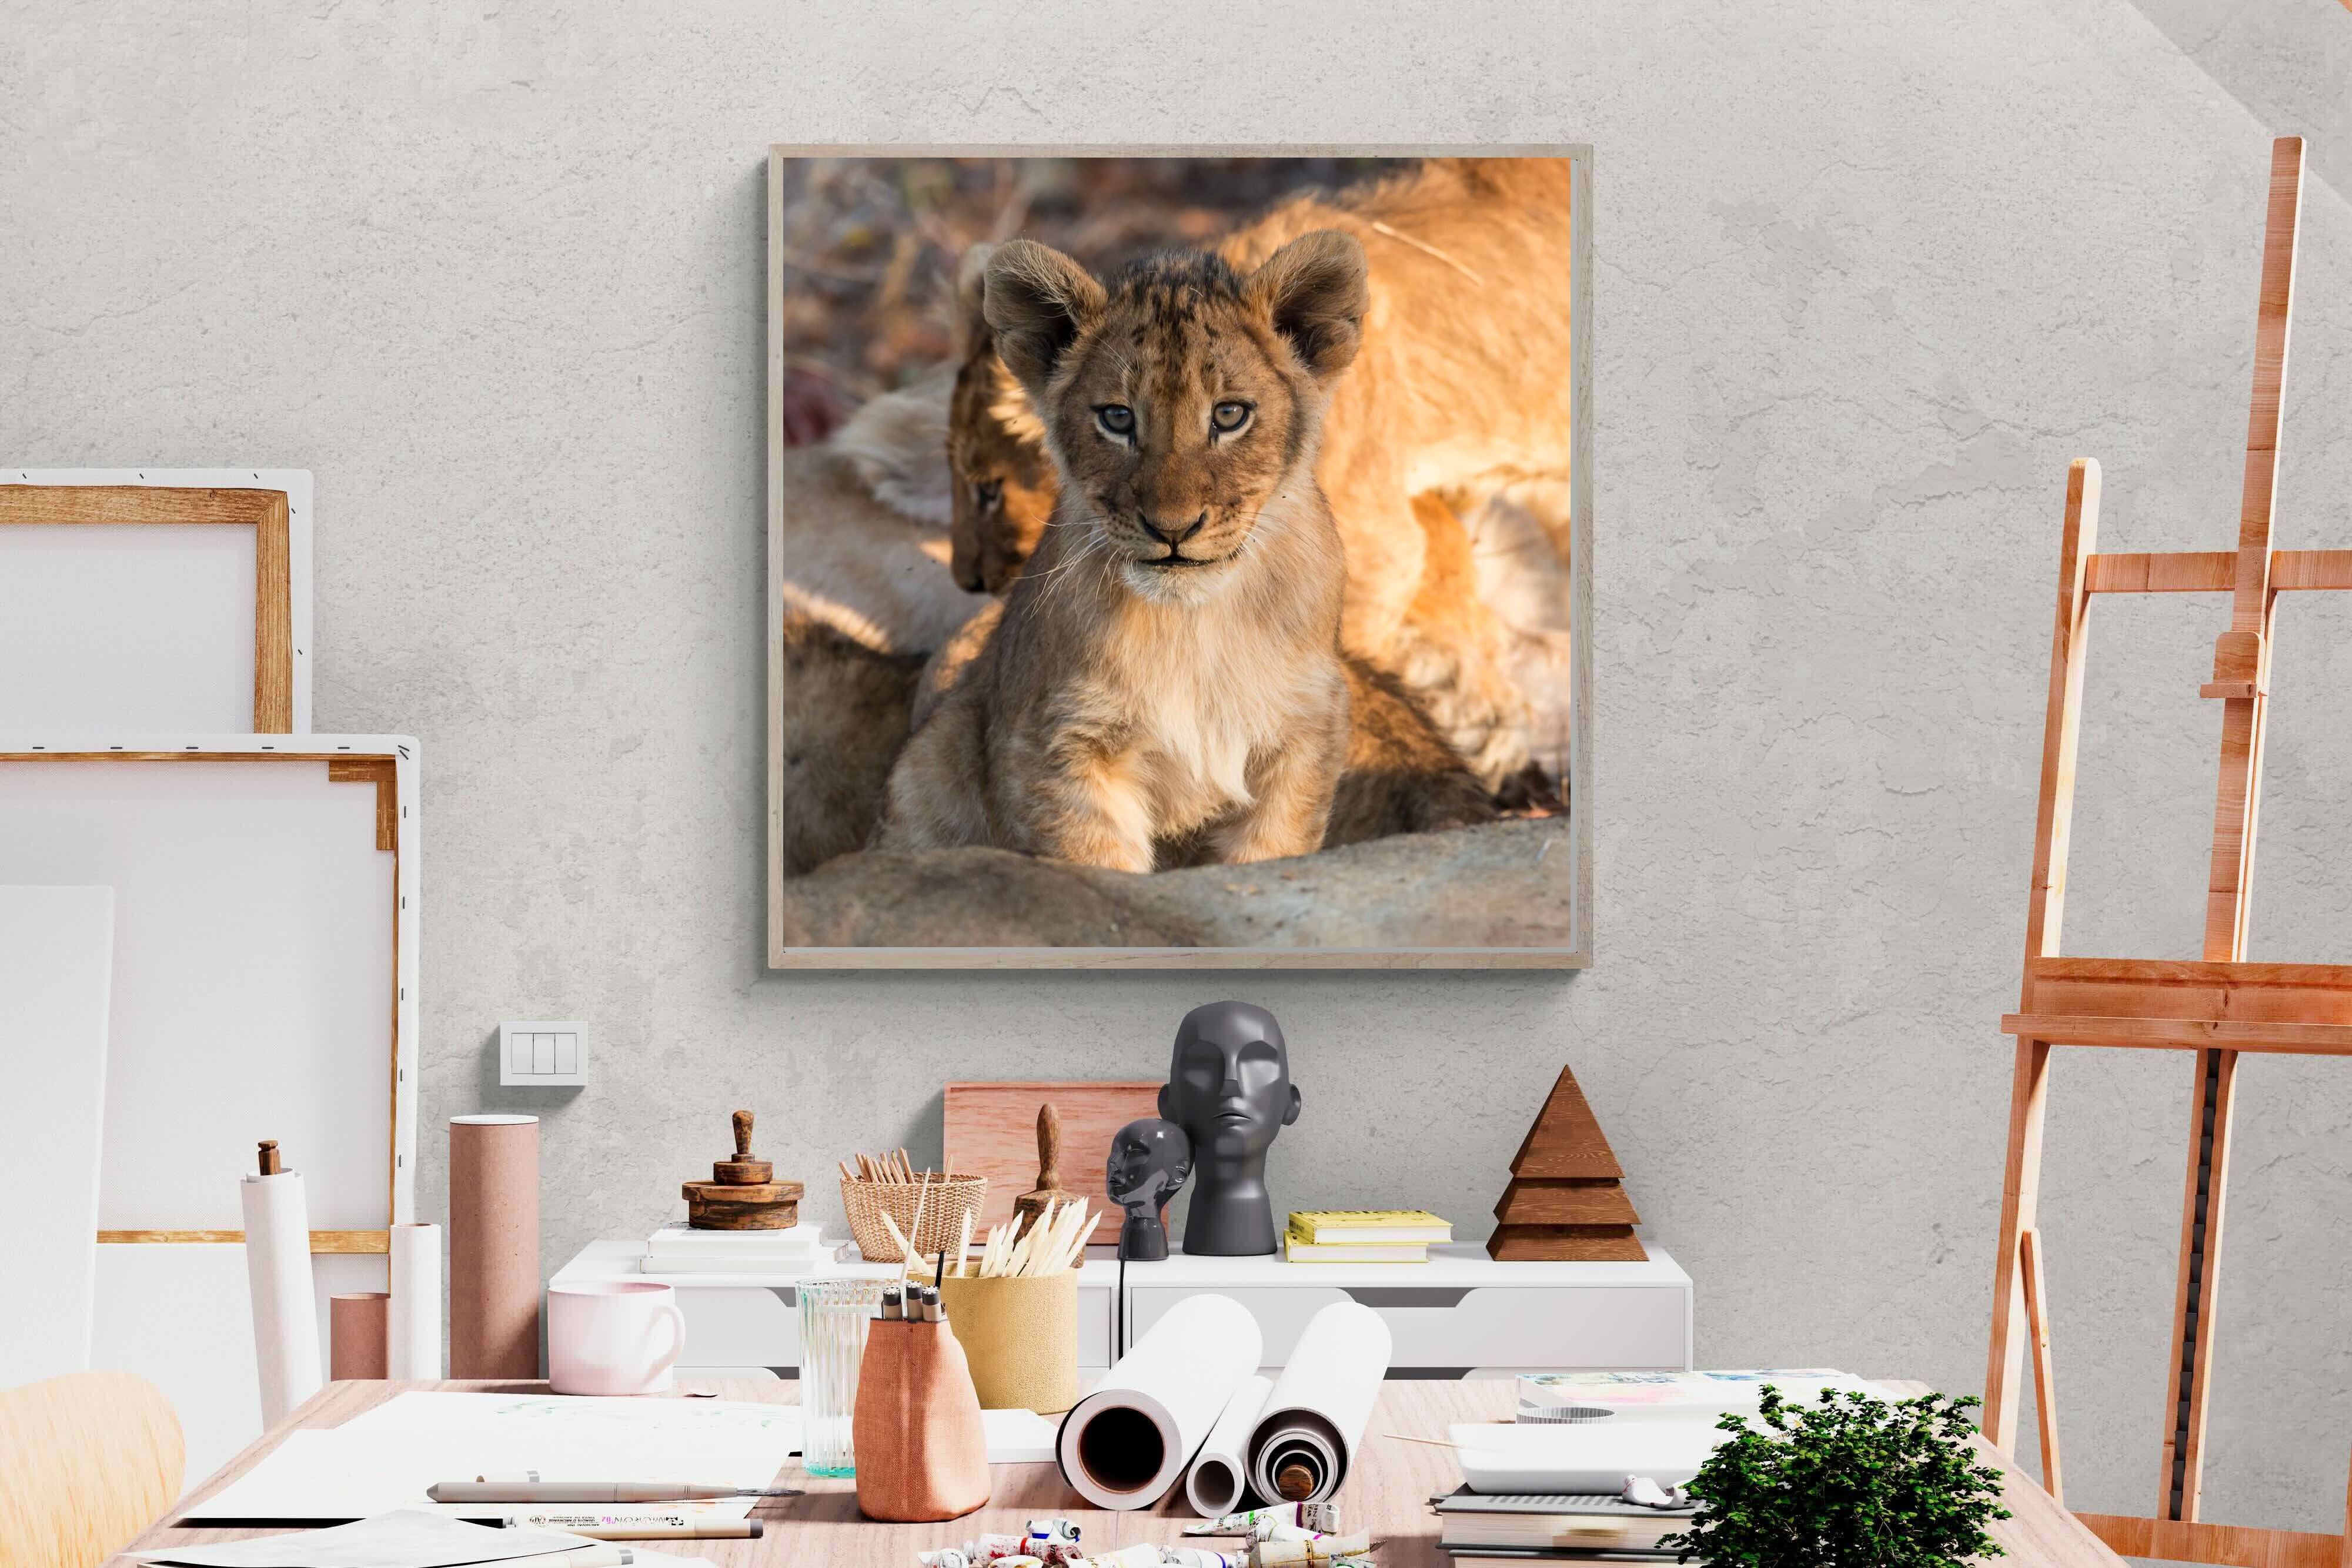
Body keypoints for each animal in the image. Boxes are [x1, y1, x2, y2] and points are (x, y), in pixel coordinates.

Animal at [879, 232, 1371, 871]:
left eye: (1229, 415)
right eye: (1117, 418)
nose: (1173, 528)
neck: (1194, 626)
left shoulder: (1303, 733)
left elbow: (1269, 854)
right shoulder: (1062, 744)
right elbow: (1096, 866)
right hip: (933, 760)